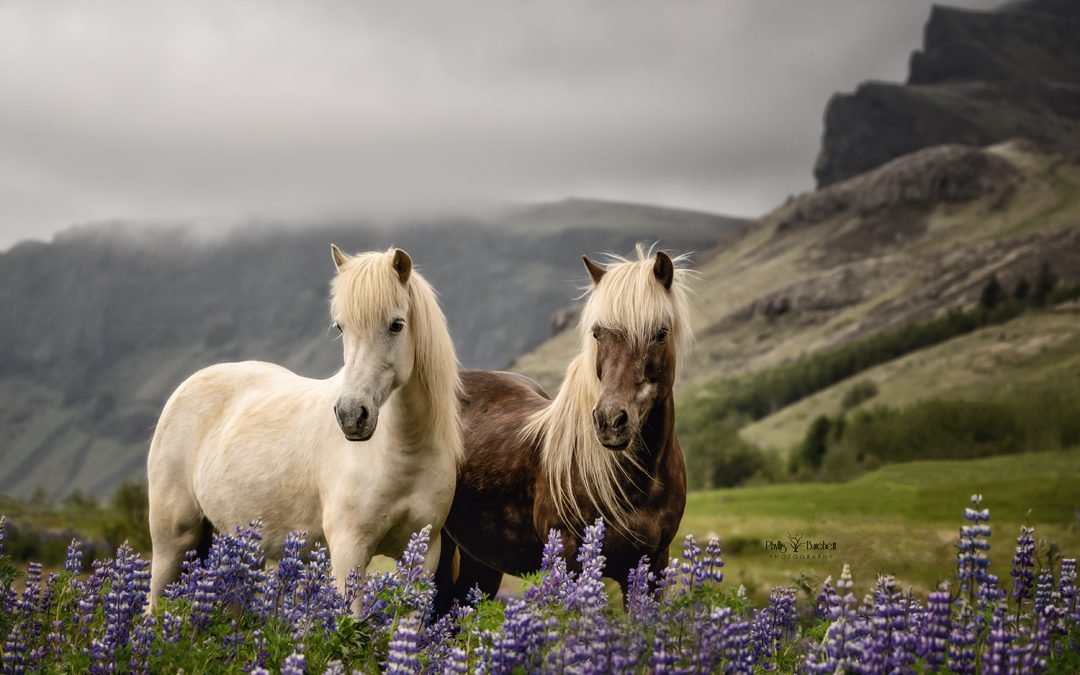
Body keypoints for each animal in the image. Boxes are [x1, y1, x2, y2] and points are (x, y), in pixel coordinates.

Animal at [146, 246, 460, 604]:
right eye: (341, 327)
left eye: (396, 325)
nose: (351, 415)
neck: (402, 454)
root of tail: (186, 387)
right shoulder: (348, 550)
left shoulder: (424, 555)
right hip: (171, 543)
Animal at [436, 243, 691, 609]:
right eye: (598, 333)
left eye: (660, 333)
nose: (610, 421)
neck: (638, 482)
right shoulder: (571, 560)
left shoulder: (653, 567)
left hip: (479, 561)